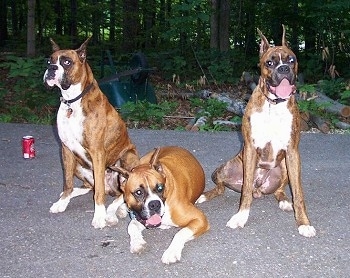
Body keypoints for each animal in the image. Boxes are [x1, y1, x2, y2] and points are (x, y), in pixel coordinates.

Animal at [44, 37, 140, 228]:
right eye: (50, 61)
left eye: (66, 62)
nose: (51, 69)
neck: (73, 101)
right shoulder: (66, 150)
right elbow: (67, 183)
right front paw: (62, 202)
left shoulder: (97, 152)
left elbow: (99, 193)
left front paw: (99, 215)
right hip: (78, 165)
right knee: (88, 187)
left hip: (128, 157)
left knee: (120, 193)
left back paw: (116, 210)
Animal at [198, 25, 316, 237]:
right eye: (269, 62)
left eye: (291, 60)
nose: (283, 69)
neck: (273, 104)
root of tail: (259, 189)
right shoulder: (251, 149)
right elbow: (245, 193)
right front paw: (240, 217)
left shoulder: (293, 153)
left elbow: (299, 193)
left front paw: (303, 222)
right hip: (223, 169)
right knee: (222, 188)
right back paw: (205, 196)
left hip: (285, 167)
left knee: (279, 191)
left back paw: (285, 202)